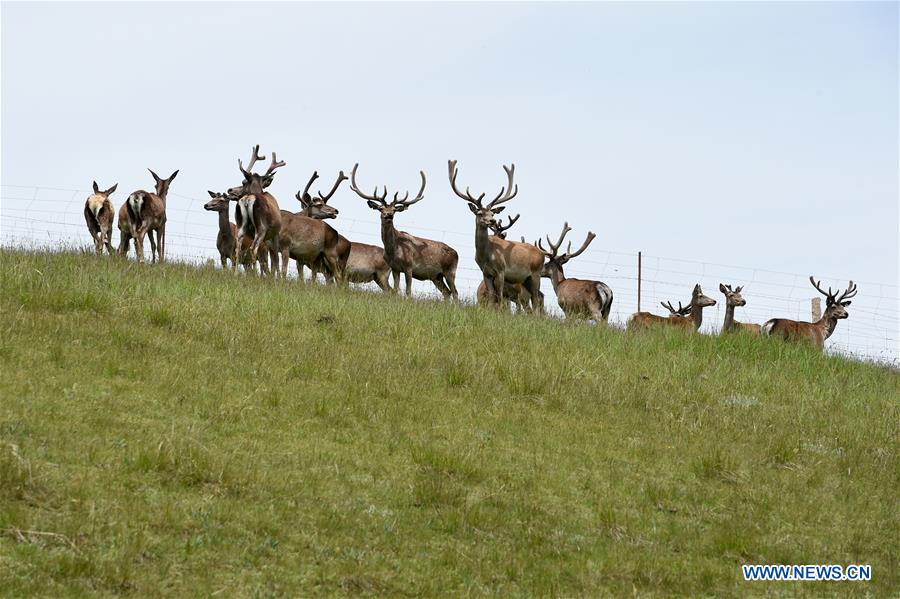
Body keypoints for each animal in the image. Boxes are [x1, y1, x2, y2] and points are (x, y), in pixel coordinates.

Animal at [224, 145, 284, 276]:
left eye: (243, 182)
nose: (229, 190)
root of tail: (248, 199)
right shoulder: (275, 233)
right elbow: (275, 257)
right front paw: (278, 278)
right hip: (262, 227)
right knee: (253, 249)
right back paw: (255, 276)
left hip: (241, 225)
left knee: (238, 249)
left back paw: (236, 274)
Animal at [350, 164, 459, 299]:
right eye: (381, 208)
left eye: (394, 210)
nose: (389, 215)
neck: (393, 251)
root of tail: (456, 253)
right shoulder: (395, 268)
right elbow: (396, 290)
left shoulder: (409, 266)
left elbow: (408, 291)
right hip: (436, 276)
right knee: (447, 292)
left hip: (450, 271)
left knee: (455, 292)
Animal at [448, 160, 544, 313]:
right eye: (479, 213)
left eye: (492, 213)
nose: (492, 221)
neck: (486, 256)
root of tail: (542, 254)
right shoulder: (486, 272)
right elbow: (493, 297)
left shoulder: (501, 270)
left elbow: (499, 296)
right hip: (525, 279)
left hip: (536, 274)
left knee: (535, 299)